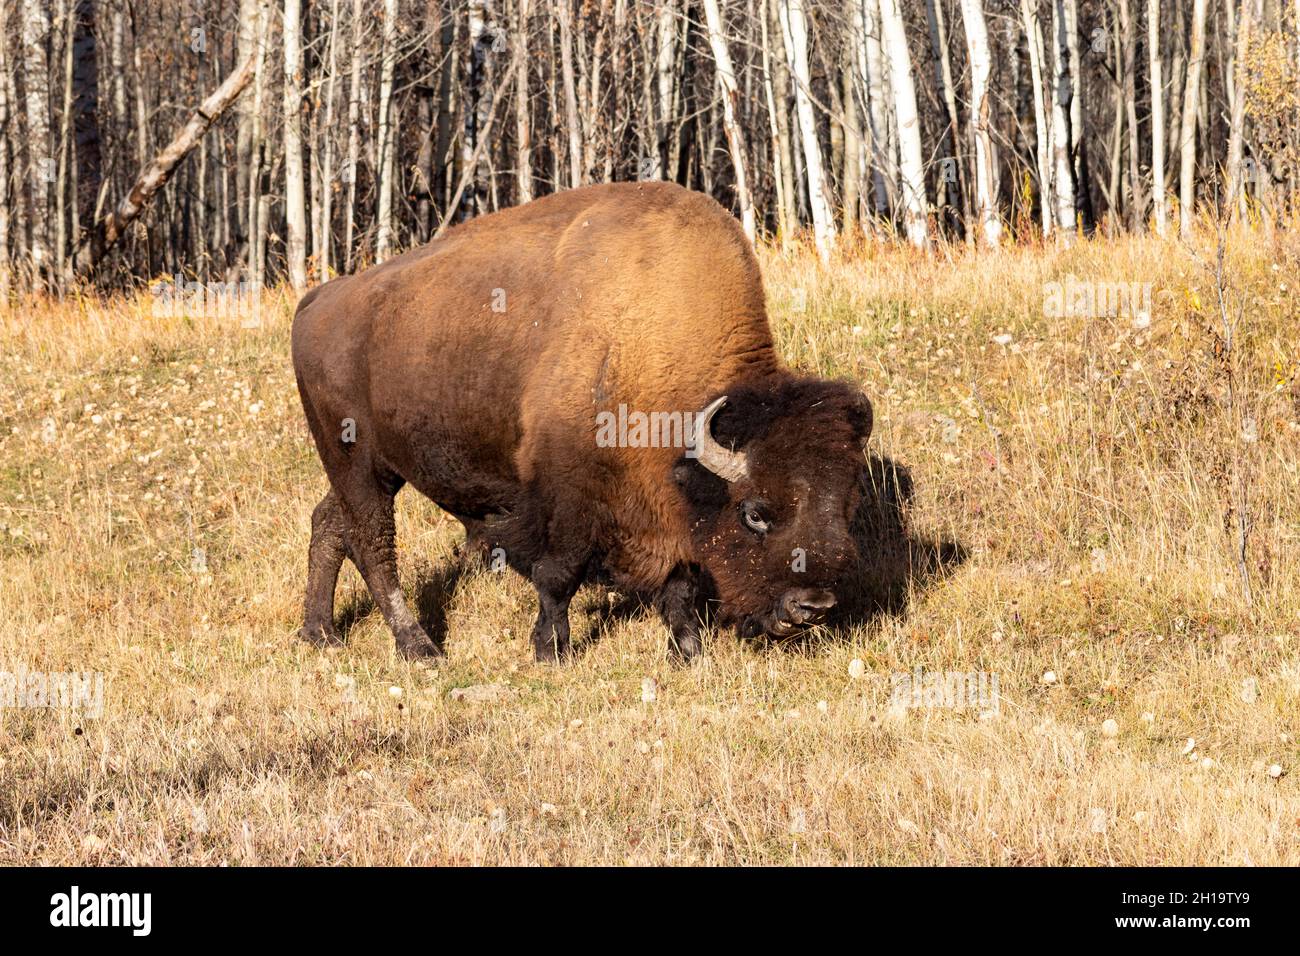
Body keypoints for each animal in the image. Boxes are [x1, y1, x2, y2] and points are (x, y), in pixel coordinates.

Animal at [295, 183, 873, 665]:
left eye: (847, 505)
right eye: (754, 513)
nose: (811, 605)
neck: (650, 334)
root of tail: (318, 300)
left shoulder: (661, 506)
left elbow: (680, 579)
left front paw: (688, 651)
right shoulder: (565, 494)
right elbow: (559, 574)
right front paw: (551, 650)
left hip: (376, 467)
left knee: (329, 522)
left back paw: (320, 633)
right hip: (357, 462)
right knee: (373, 545)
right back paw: (420, 649)